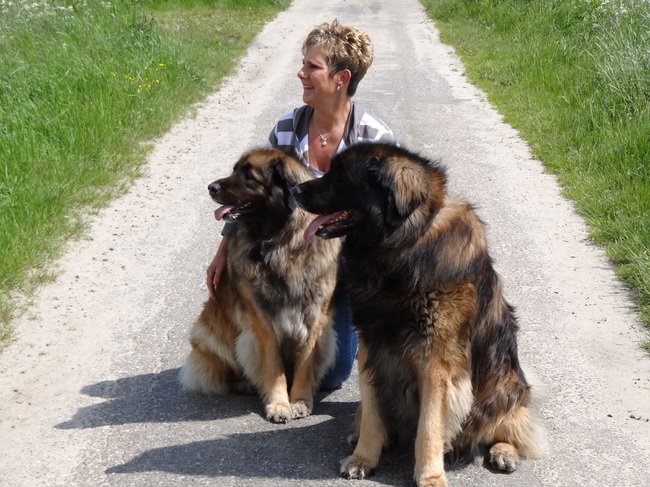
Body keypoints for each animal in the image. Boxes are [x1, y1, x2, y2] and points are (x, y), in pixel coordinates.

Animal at [179, 148, 341, 423]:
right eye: (234, 170)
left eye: (249, 175)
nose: (211, 187)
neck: (279, 245)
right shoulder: (262, 323)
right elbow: (273, 368)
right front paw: (279, 405)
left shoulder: (315, 318)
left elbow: (305, 364)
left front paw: (299, 401)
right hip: (208, 336)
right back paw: (246, 384)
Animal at [292, 143, 546, 485]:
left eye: (340, 176)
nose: (294, 190)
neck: (402, 246)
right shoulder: (373, 347)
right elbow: (372, 412)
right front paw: (363, 458)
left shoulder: (436, 364)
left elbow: (430, 427)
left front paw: (430, 476)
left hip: (503, 389)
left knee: (513, 424)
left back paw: (504, 451)